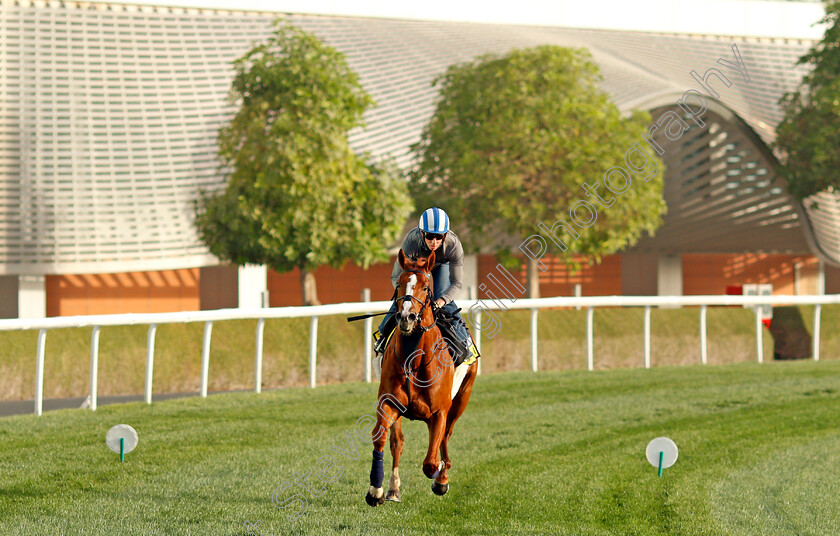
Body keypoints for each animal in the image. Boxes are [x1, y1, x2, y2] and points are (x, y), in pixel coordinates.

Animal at [362, 248, 476, 506]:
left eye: (425, 287)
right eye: (400, 284)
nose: (406, 316)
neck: (413, 360)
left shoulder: (440, 410)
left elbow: (431, 462)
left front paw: (440, 477)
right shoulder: (388, 402)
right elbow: (381, 439)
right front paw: (376, 490)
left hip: (462, 398)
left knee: (445, 436)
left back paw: (442, 477)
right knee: (398, 442)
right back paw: (393, 488)